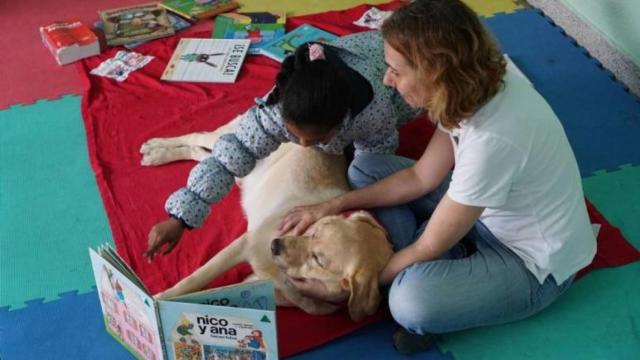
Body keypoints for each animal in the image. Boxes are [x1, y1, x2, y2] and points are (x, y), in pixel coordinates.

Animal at [140, 117, 392, 320]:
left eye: (318, 260)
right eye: (315, 230)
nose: (275, 245)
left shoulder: (258, 283)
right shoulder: (244, 244)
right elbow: (193, 280)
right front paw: (156, 299)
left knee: (207, 157)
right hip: (242, 140)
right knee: (197, 136)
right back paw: (157, 150)